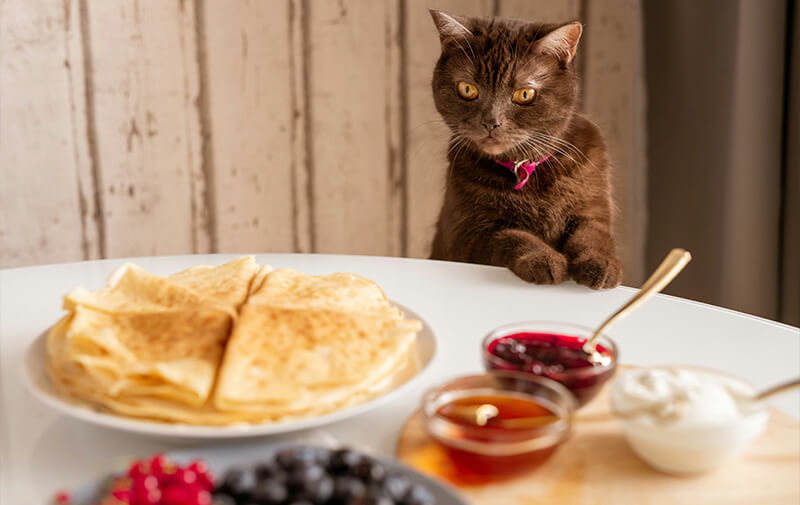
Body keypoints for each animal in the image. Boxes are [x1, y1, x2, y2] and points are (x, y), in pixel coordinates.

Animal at [428, 9, 620, 290]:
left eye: (525, 94)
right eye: (468, 89)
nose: (490, 122)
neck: (526, 170)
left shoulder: (593, 207)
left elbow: (593, 234)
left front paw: (600, 264)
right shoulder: (467, 236)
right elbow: (510, 235)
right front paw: (543, 259)